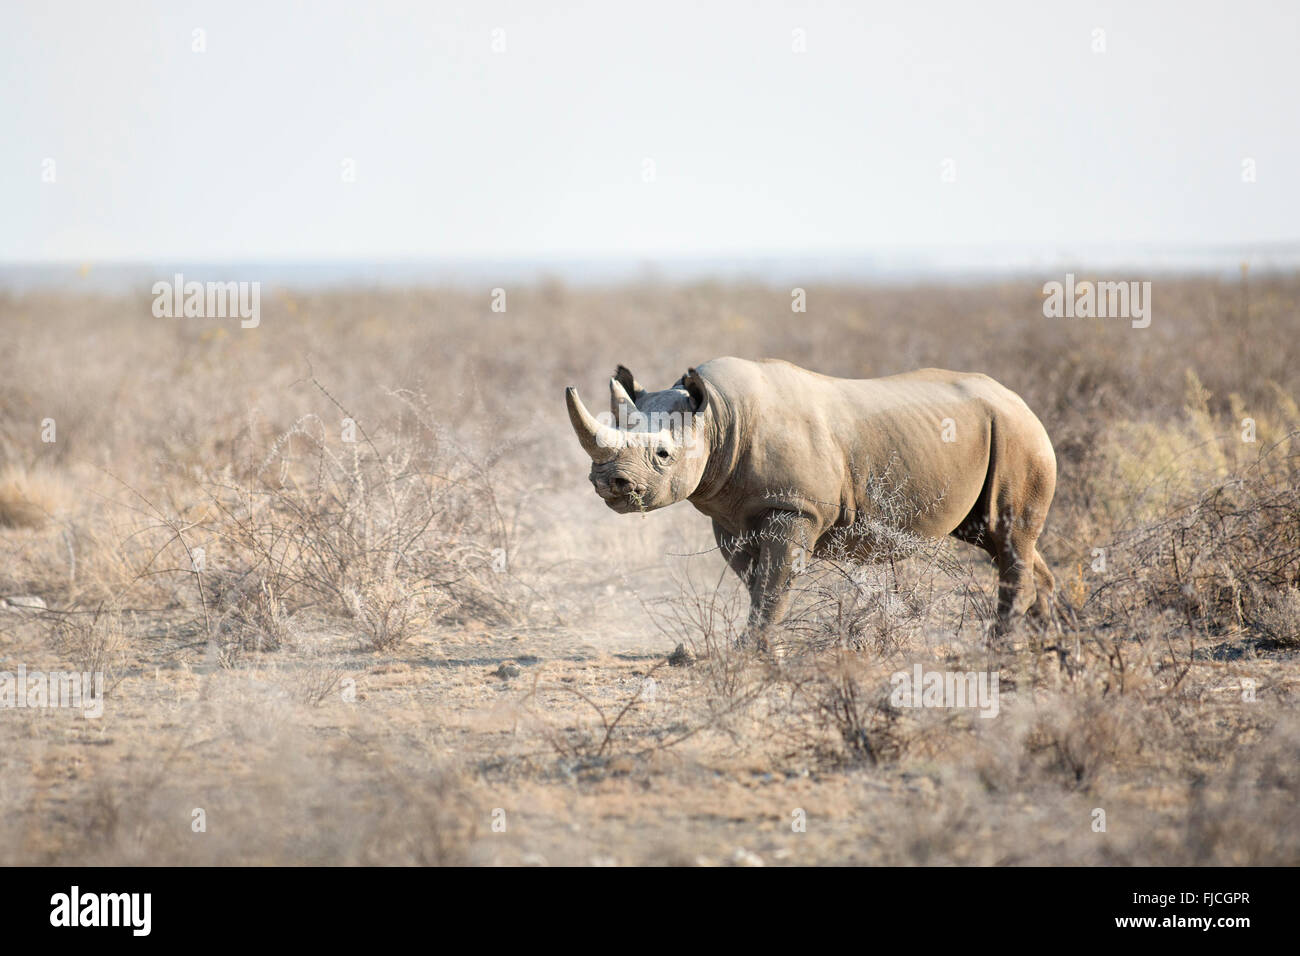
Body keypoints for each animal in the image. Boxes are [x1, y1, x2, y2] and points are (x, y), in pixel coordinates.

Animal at [566, 358, 1055, 642]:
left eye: (663, 455)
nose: (609, 483)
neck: (718, 415)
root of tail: (1020, 400)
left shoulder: (793, 507)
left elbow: (775, 582)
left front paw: (755, 654)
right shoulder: (731, 516)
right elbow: (757, 582)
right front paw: (760, 648)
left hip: (1017, 433)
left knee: (1007, 534)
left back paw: (1000, 648)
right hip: (998, 430)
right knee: (1001, 540)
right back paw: (1047, 643)